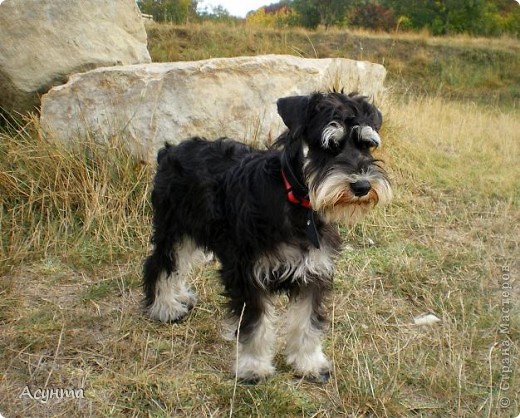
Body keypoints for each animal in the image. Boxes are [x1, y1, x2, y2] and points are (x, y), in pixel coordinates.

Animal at [142, 90, 390, 382]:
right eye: (328, 145)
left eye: (367, 146)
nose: (362, 186)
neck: (296, 203)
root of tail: (169, 151)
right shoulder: (249, 275)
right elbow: (255, 325)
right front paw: (253, 367)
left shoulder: (314, 274)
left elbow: (306, 324)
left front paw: (309, 363)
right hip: (174, 230)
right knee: (161, 265)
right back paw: (166, 307)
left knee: (180, 266)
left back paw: (180, 296)